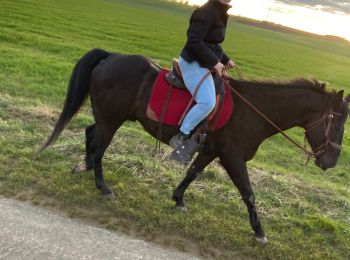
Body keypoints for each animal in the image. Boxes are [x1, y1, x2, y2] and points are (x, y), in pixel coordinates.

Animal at [39, 48, 350, 244]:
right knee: (101, 146)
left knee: (91, 135)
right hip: (112, 120)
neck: (253, 111)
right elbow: (248, 193)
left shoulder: (212, 151)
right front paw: (260, 232)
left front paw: (178, 199)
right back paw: (102, 186)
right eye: (336, 123)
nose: (331, 162)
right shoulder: (233, 157)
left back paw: (84, 165)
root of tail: (111, 57)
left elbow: (192, 173)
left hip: (107, 118)